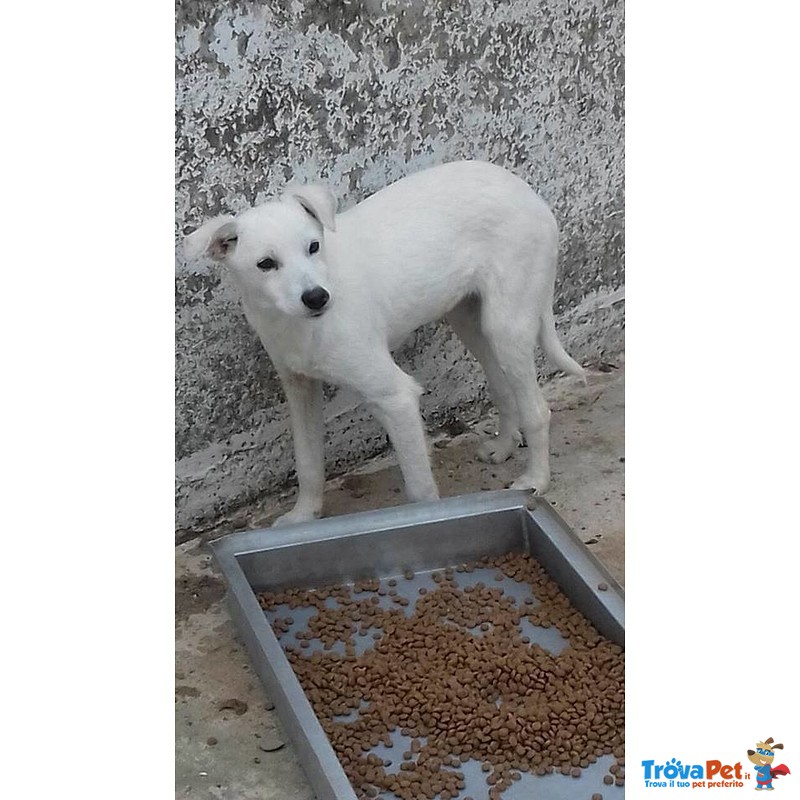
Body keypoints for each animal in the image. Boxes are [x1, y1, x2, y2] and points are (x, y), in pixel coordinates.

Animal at [188, 161, 588, 524]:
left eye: (314, 246)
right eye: (266, 264)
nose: (317, 298)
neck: (297, 324)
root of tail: (527, 191)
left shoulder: (396, 396)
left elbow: (420, 488)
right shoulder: (299, 387)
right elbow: (308, 462)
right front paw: (303, 516)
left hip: (507, 324)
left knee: (537, 410)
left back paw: (535, 479)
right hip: (470, 320)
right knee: (502, 386)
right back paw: (504, 445)